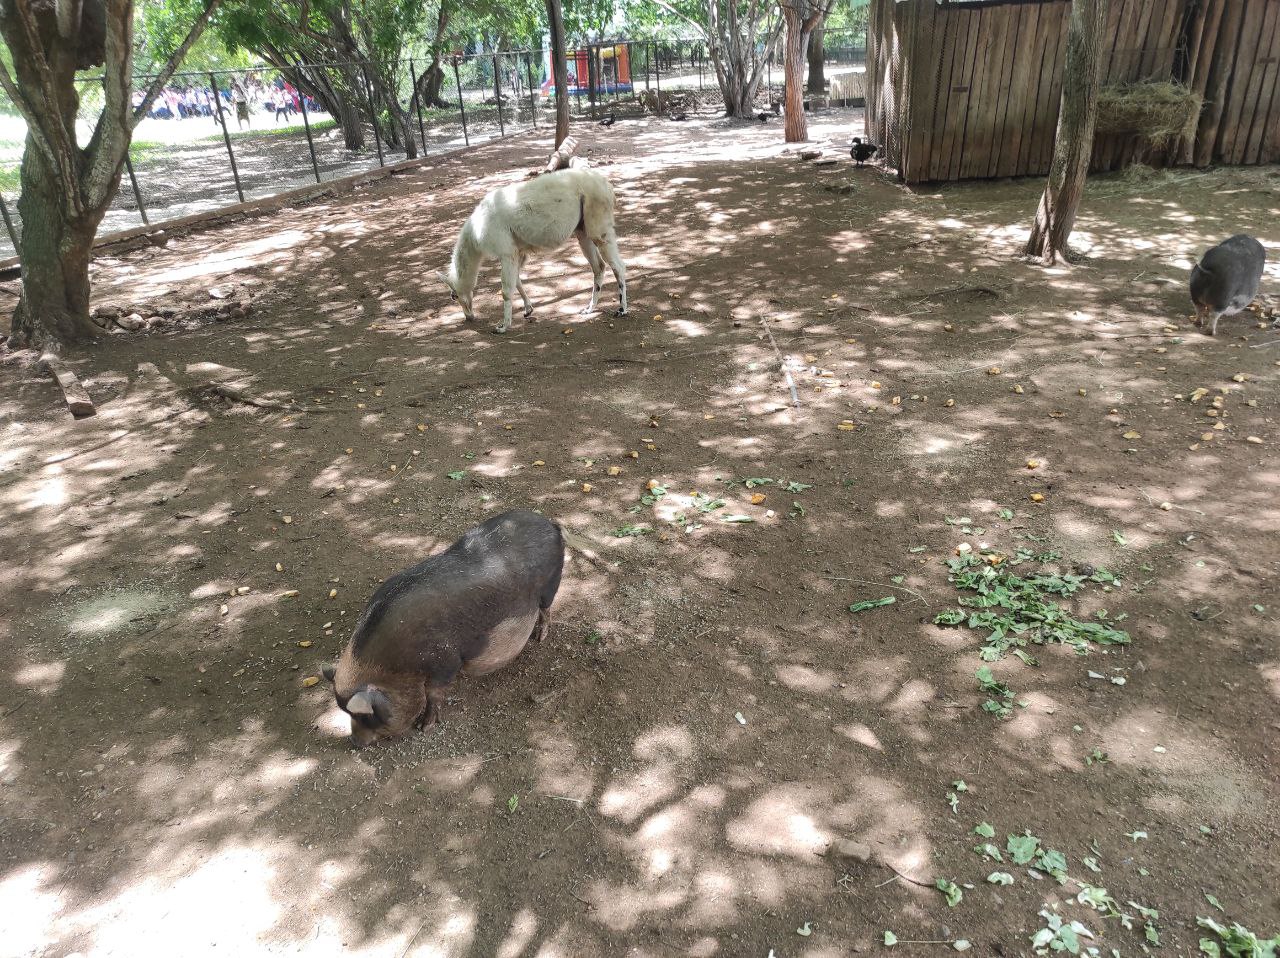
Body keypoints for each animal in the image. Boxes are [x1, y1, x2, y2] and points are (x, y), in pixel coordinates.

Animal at [322, 509, 563, 747]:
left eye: (366, 716)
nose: (354, 741)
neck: (395, 666)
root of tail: (549, 523)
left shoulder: (446, 662)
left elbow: (433, 693)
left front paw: (425, 727)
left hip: (550, 585)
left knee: (546, 609)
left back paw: (540, 637)